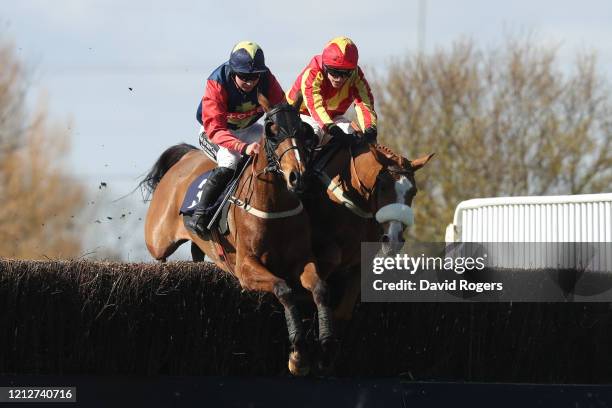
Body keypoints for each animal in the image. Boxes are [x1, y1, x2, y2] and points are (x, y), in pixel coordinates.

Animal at [139, 94, 332, 374]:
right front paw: (297, 355)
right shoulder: (246, 268)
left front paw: (325, 345)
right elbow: (284, 289)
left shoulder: (302, 260)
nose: (298, 177)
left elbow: (320, 289)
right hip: (158, 239)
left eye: (303, 131)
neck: (274, 204)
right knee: (159, 257)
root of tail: (185, 157)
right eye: (272, 132)